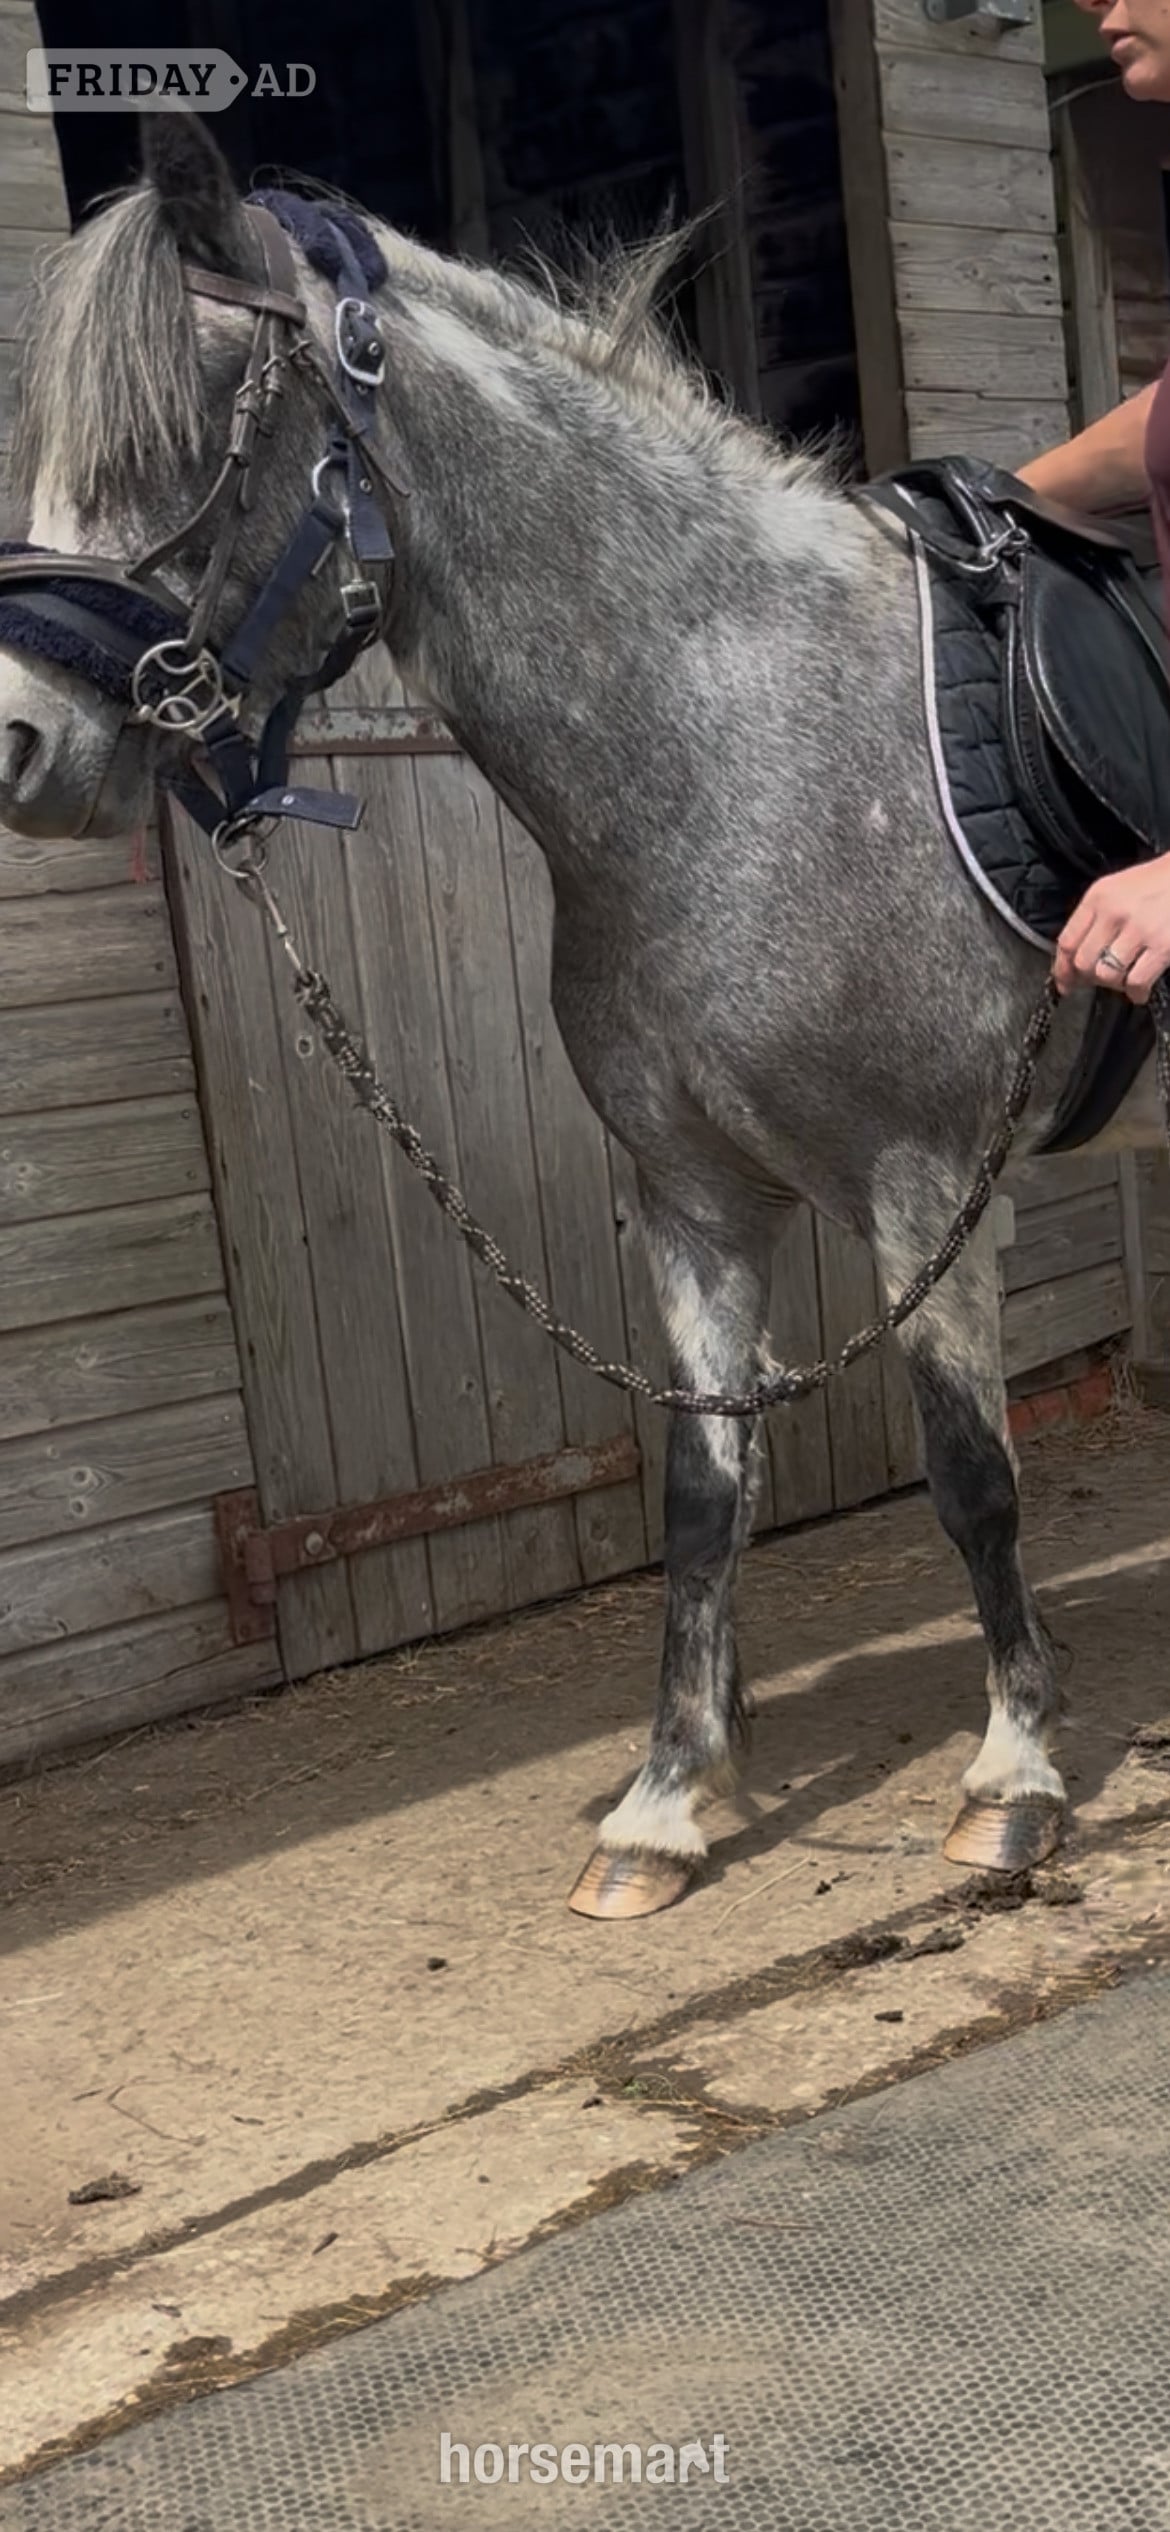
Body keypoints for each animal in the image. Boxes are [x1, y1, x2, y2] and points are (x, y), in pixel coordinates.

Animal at [0, 114, 1155, 1918]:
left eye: (188, 431)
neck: (741, 741)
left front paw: (1014, 1778)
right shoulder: (691, 1201)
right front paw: (668, 1801)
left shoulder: (923, 1187)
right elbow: (699, 1490)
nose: (21, 747)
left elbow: (973, 1477)